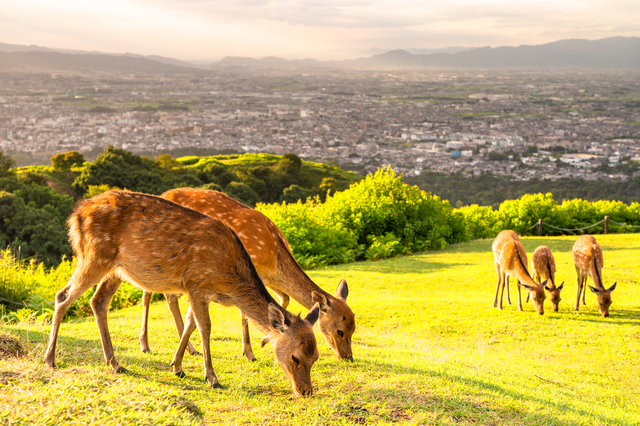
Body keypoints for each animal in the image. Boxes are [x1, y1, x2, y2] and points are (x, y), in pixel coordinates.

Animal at [42, 191, 320, 398]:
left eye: (315, 356)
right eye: (295, 357)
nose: (306, 391)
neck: (229, 279)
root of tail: (76, 215)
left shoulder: (198, 292)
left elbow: (190, 323)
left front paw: (177, 367)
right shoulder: (196, 283)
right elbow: (205, 327)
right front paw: (212, 378)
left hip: (117, 268)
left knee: (98, 301)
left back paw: (116, 363)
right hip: (95, 254)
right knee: (63, 296)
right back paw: (51, 359)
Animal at [136, 188, 356, 362]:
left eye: (354, 328)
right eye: (340, 331)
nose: (348, 357)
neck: (274, 254)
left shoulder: (268, 278)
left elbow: (284, 299)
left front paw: (264, 340)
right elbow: (245, 314)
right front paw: (249, 352)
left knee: (163, 295)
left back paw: (187, 348)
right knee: (152, 294)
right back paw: (147, 344)